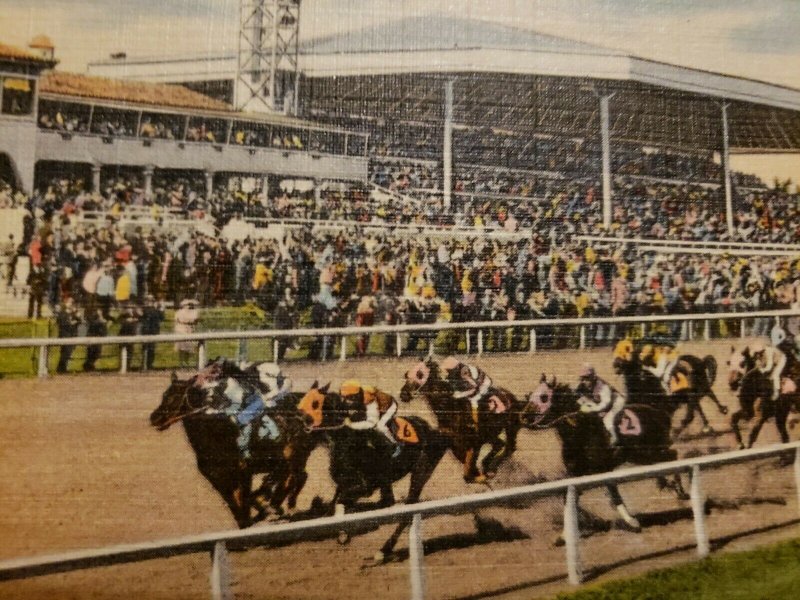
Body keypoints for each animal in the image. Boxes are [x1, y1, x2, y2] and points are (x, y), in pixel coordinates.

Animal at [150, 372, 316, 528]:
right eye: (164, 395)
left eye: (175, 397)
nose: (154, 418)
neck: (219, 434)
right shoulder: (218, 480)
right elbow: (237, 509)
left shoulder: (244, 474)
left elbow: (245, 504)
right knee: (295, 477)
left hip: (295, 455)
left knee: (293, 477)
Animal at [400, 358, 524, 486]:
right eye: (407, 375)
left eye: (420, 375)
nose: (404, 394)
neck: (450, 408)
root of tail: (511, 396)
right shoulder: (455, 444)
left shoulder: (474, 443)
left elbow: (468, 475)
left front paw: (483, 477)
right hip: (490, 434)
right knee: (500, 444)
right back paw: (488, 466)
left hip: (509, 427)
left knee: (509, 446)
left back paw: (491, 468)